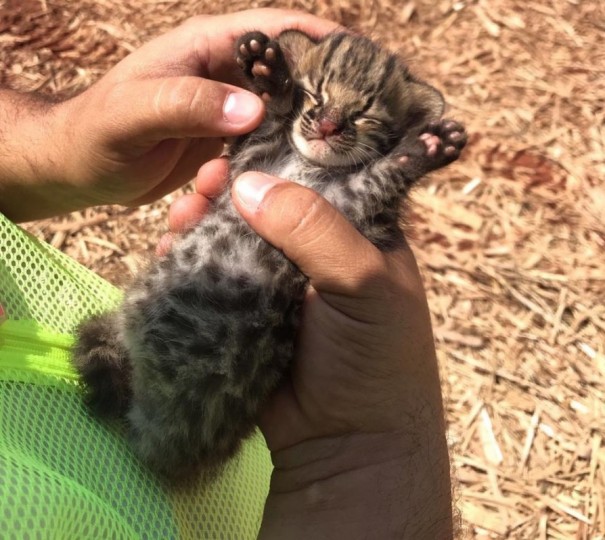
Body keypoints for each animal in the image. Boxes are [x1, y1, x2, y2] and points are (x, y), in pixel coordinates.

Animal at [72, 28, 468, 480]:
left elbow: (383, 174)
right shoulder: (251, 161)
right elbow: (271, 120)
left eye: (364, 113)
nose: (327, 126)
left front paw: (428, 147)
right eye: (314, 93)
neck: (309, 166)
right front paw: (268, 70)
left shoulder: (356, 210)